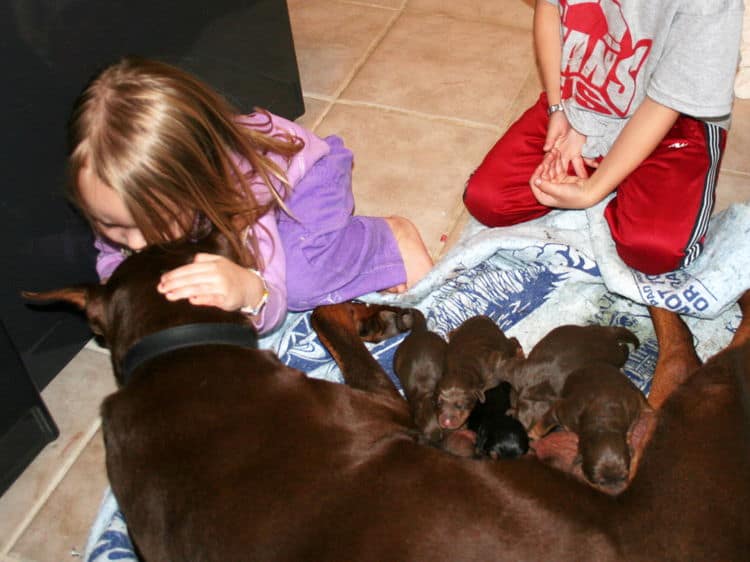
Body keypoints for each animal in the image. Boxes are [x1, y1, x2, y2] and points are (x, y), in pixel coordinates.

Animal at [500, 322, 640, 426]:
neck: (539, 388)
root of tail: (609, 333)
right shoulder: (518, 374)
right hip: (594, 331)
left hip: (614, 354)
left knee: (623, 350)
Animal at [528, 360, 652, 488]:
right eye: (600, 482)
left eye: (624, 477)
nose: (617, 490)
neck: (604, 424)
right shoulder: (564, 411)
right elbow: (547, 421)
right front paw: (533, 435)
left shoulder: (633, 407)